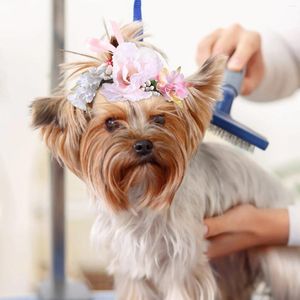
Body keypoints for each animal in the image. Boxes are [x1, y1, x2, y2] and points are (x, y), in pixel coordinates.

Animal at [31, 22, 300, 298]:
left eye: (159, 119)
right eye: (110, 123)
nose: (143, 144)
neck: (140, 189)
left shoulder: (183, 264)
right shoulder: (130, 265)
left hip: (279, 260)